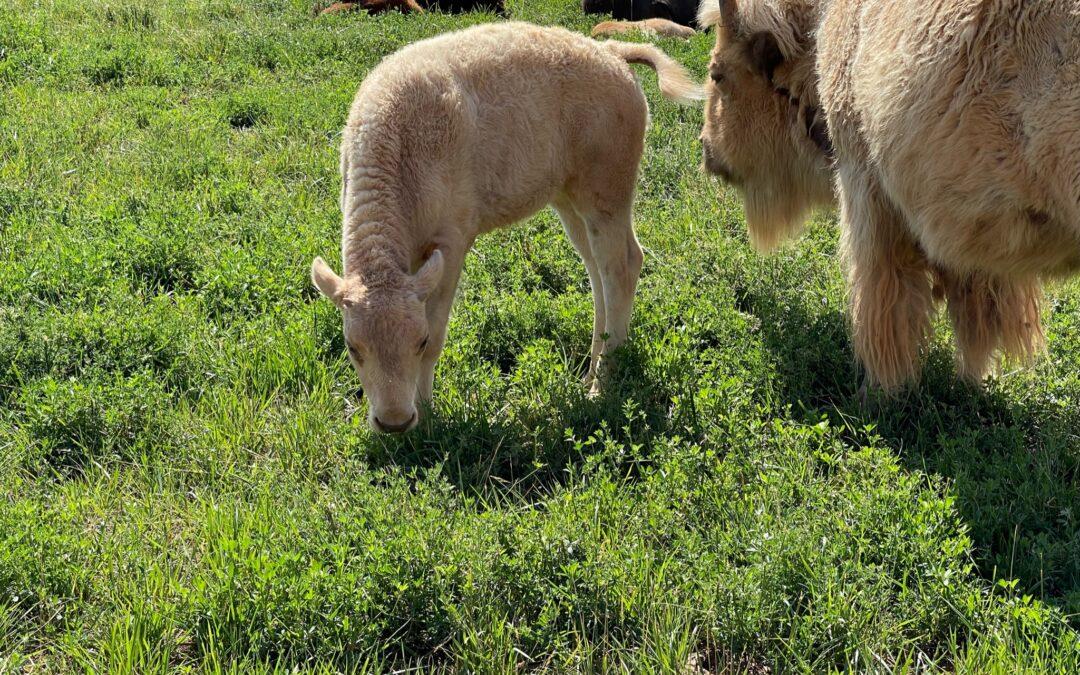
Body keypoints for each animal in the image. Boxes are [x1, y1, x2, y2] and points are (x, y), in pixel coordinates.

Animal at [308, 22, 704, 432]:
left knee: (622, 265)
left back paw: (602, 383)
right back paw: (591, 373)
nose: (394, 422)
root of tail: (612, 52)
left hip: (606, 194)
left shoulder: (451, 243)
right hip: (568, 199)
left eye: (419, 341)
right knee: (598, 272)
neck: (397, 151)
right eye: (353, 347)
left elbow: (439, 328)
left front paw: (430, 418)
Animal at [695, 1, 1075, 388]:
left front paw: (881, 388)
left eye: (717, 75)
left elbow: (883, 302)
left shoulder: (867, 191)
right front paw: (975, 378)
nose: (707, 149)